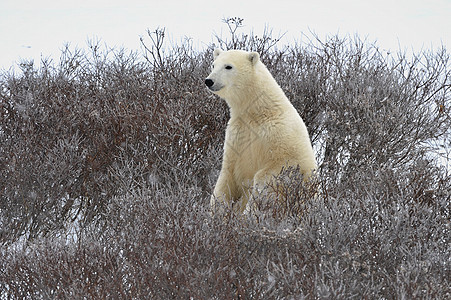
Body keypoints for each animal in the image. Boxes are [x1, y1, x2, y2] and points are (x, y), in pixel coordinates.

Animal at [206, 49, 318, 213]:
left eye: (228, 66)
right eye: (213, 65)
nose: (209, 81)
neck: (258, 111)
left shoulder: (279, 135)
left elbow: (270, 174)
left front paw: (250, 211)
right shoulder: (237, 134)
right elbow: (227, 174)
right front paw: (218, 210)